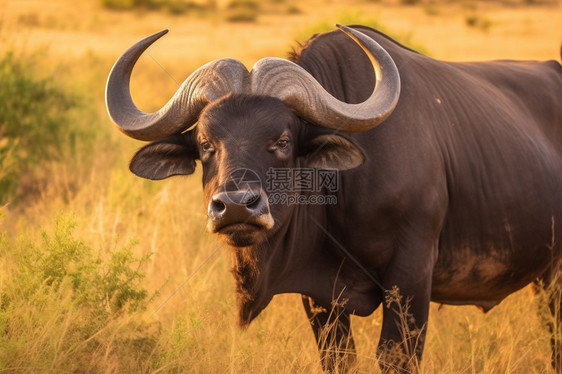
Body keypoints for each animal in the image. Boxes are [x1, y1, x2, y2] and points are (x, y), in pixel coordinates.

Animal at [105, 25, 560, 372]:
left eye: (283, 141)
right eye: (204, 144)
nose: (234, 205)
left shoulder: (411, 278)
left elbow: (395, 358)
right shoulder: (321, 298)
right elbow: (338, 359)